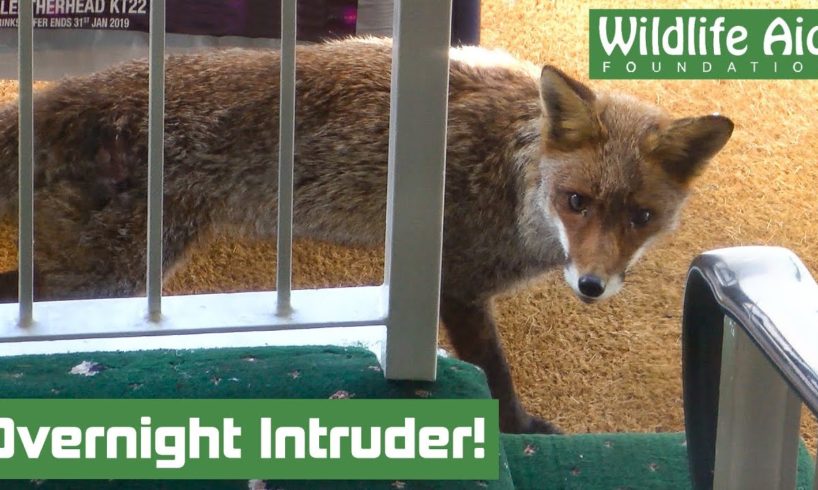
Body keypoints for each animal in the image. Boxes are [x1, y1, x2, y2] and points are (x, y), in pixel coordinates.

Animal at [0, 37, 732, 433]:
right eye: (576, 201)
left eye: (640, 217)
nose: (591, 285)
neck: (513, 165)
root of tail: (61, 94)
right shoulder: (457, 283)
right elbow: (496, 376)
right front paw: (522, 430)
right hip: (112, 277)